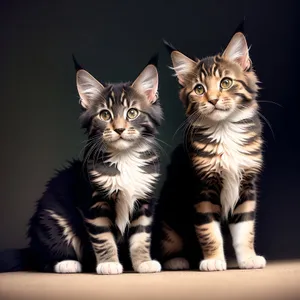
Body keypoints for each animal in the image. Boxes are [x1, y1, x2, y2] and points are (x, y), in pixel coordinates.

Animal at [28, 54, 163, 274]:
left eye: (132, 113)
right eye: (105, 115)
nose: (119, 129)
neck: (124, 157)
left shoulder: (144, 201)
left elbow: (141, 236)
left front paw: (143, 262)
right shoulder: (94, 204)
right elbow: (103, 238)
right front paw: (109, 263)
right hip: (51, 219)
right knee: (44, 257)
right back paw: (67, 262)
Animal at [159, 25, 268, 270]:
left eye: (225, 82)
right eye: (199, 89)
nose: (213, 100)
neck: (225, 130)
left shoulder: (246, 188)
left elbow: (245, 231)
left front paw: (248, 258)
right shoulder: (202, 191)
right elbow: (209, 232)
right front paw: (213, 260)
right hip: (168, 217)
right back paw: (178, 260)